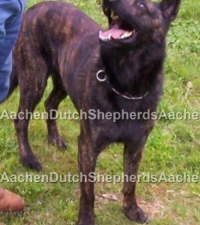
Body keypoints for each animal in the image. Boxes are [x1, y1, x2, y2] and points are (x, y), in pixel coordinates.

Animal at [7, 0, 180, 224]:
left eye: (141, 5)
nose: (108, 1)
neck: (125, 84)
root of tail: (33, 9)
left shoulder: (135, 146)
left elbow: (130, 183)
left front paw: (131, 210)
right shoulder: (88, 146)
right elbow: (88, 190)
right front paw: (87, 218)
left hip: (64, 80)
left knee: (50, 103)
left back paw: (54, 138)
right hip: (34, 79)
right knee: (21, 121)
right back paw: (28, 158)